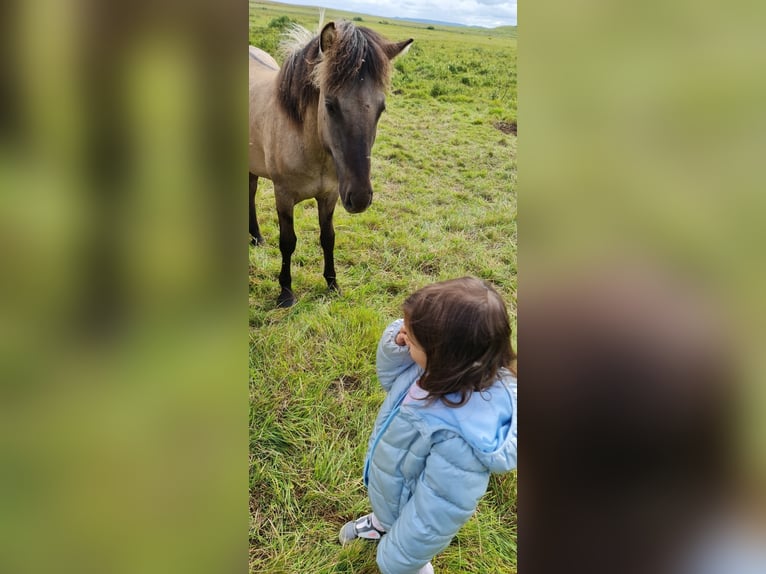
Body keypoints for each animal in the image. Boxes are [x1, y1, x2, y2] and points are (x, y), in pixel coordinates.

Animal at [250, 20, 414, 308]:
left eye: (381, 108)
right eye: (330, 104)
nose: (360, 198)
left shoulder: (330, 195)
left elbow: (328, 238)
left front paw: (332, 284)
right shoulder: (283, 195)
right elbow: (288, 241)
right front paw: (286, 292)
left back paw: (256, 237)